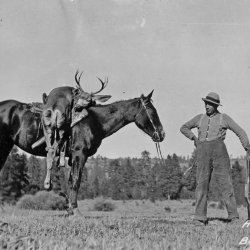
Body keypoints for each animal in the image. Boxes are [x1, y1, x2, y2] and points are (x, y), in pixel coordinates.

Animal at [0, 91, 164, 214]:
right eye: (152, 111)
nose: (162, 134)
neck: (95, 120)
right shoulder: (80, 154)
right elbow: (76, 181)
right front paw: (75, 211)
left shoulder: (73, 157)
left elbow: (71, 181)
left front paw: (70, 211)